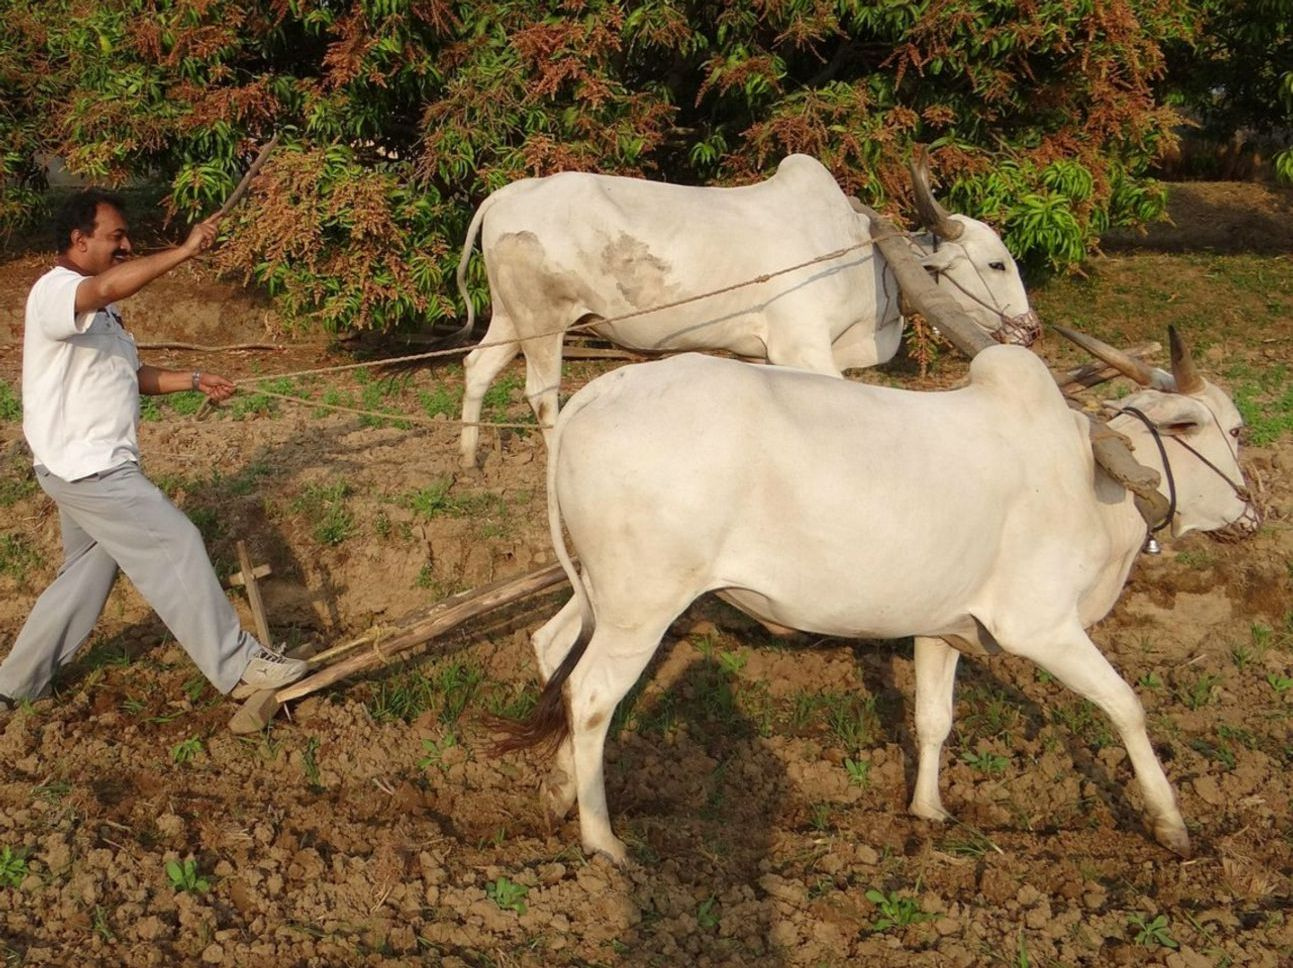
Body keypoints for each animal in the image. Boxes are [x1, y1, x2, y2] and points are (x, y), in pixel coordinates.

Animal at [453, 154, 1042, 467]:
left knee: (477, 366)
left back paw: (468, 457)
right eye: (995, 264)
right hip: (544, 321)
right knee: (542, 392)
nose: (1030, 330)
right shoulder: (805, 347)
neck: (862, 256)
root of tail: (509, 194)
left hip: (512, 317)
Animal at [495, 327, 1260, 864]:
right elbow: (1127, 706)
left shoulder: (944, 627)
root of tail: (596, 394)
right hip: (643, 604)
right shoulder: (1040, 626)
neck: (1093, 478)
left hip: (602, 593)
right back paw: (602, 840)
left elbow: (933, 719)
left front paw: (928, 812)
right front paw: (1171, 823)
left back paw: (559, 791)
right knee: (593, 694)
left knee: (555, 651)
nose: (1253, 513)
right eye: (1233, 429)